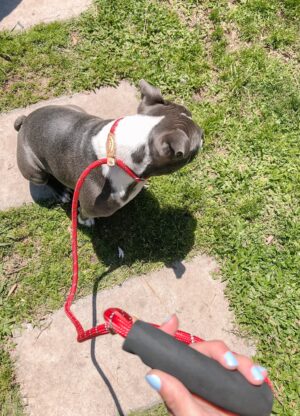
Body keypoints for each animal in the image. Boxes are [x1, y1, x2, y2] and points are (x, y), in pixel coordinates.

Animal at [13, 80, 202, 226]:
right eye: (197, 141)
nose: (204, 135)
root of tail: (25, 120)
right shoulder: (93, 206)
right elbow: (85, 212)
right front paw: (85, 220)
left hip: (75, 108)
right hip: (33, 169)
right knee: (46, 178)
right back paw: (61, 192)